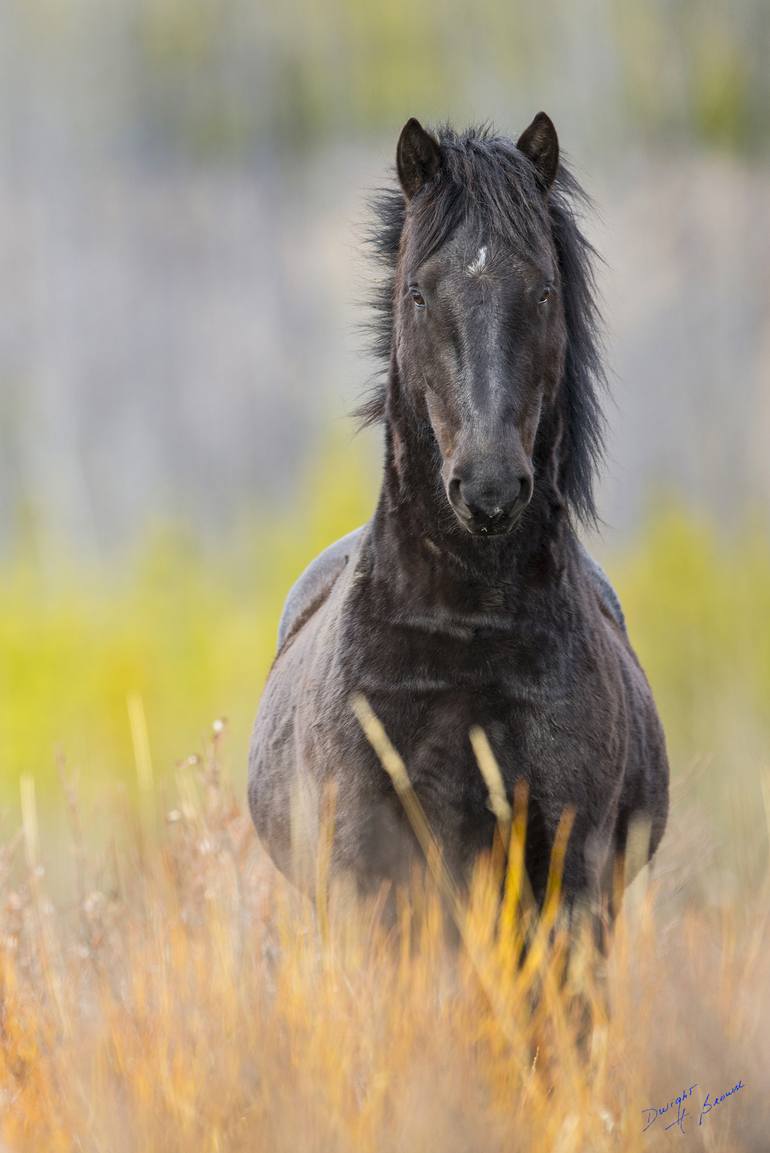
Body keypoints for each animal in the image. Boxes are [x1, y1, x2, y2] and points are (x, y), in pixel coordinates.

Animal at [251, 114, 668, 927]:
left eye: (543, 290)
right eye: (417, 293)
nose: (489, 485)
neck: (468, 633)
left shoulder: (570, 889)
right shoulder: (370, 882)